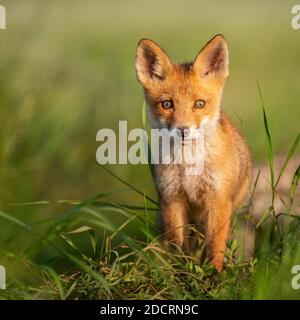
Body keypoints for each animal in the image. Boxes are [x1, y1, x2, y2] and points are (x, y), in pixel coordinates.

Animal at [135, 34, 252, 270]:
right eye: (167, 104)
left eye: (199, 104)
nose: (183, 129)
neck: (189, 166)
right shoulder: (172, 198)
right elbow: (178, 246)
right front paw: (181, 272)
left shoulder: (218, 199)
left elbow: (215, 245)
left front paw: (214, 273)